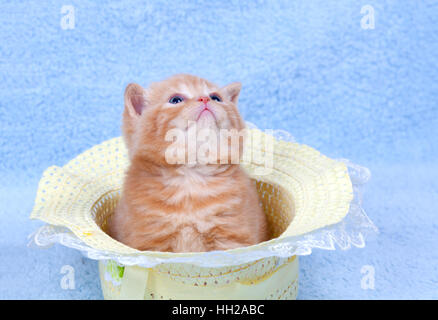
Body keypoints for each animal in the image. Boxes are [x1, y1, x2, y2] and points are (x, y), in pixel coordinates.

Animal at [108, 74, 268, 251]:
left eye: (216, 97)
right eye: (175, 100)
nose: (205, 98)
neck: (191, 177)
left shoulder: (231, 238)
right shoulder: (149, 242)